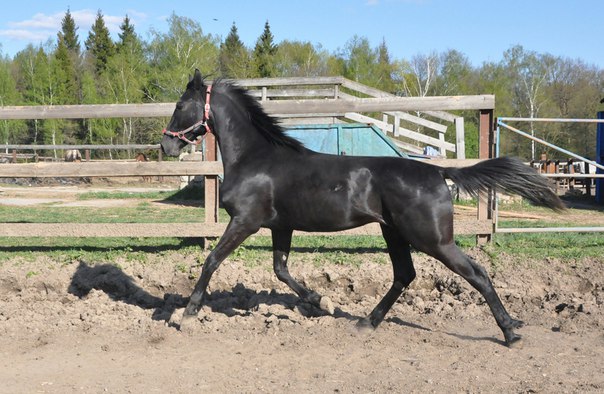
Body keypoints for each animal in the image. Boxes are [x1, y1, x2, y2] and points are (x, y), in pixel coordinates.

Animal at [160, 69, 568, 346]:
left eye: (180, 105)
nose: (166, 145)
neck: (255, 158)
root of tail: (438, 170)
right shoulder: (281, 226)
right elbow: (281, 270)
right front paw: (320, 301)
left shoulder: (245, 221)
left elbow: (212, 260)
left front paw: (187, 314)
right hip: (394, 232)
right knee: (405, 275)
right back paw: (367, 321)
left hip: (433, 239)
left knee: (476, 273)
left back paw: (509, 330)